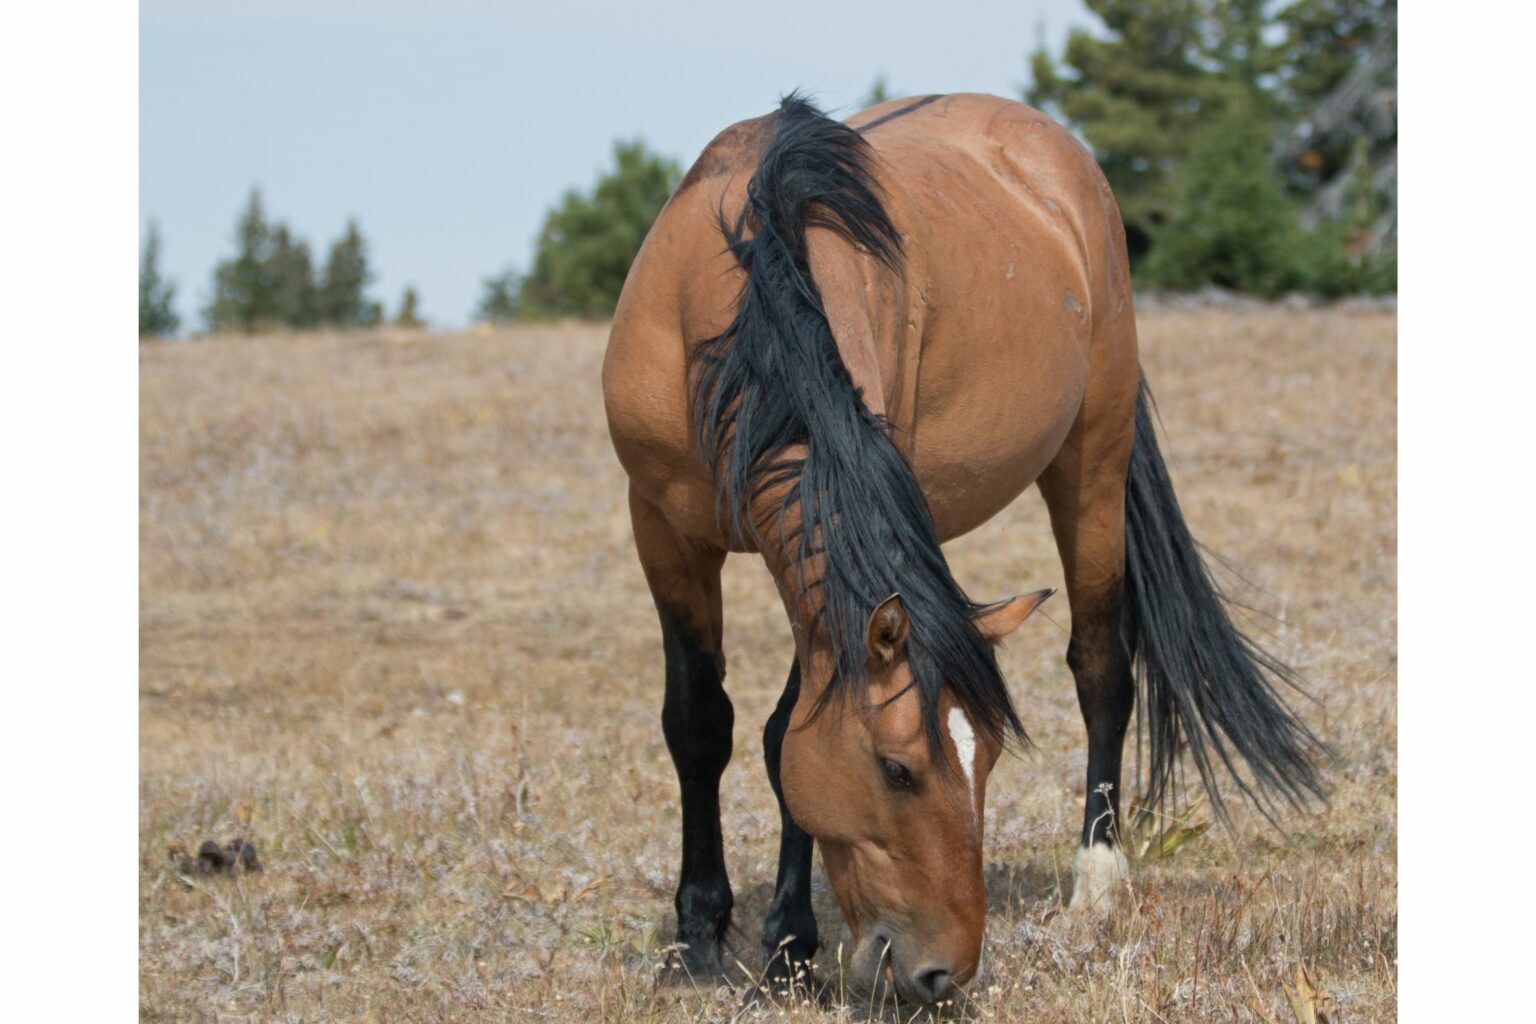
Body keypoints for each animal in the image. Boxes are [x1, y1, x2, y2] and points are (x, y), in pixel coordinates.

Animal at [602, 92, 1323, 1005]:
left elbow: (779, 732)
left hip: (1092, 459)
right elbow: (700, 722)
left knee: (1101, 668)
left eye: (988, 768)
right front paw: (698, 937)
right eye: (897, 769)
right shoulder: (661, 526)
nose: (942, 972)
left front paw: (789, 945)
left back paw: (1095, 884)